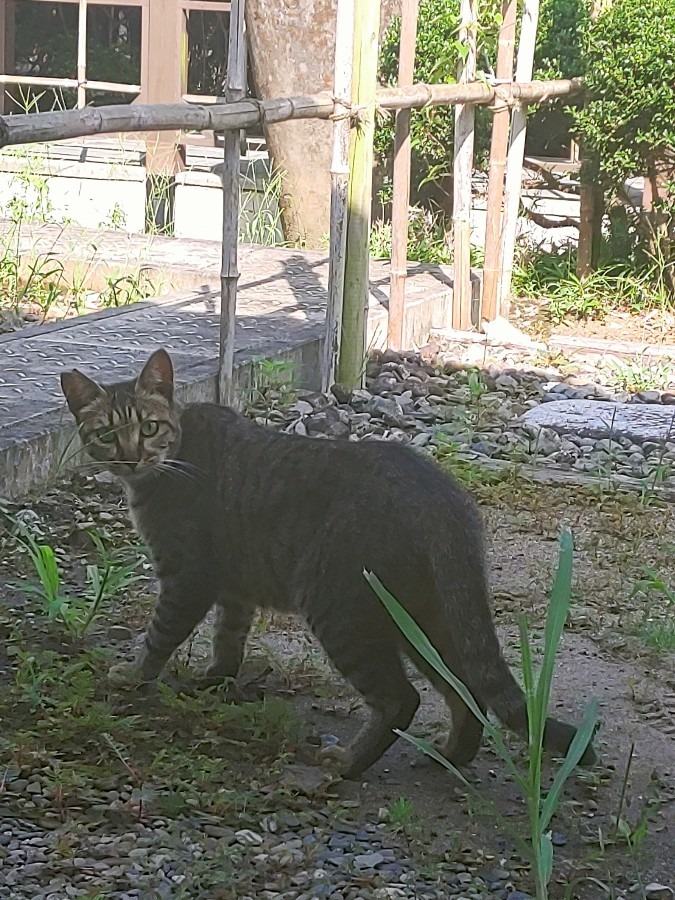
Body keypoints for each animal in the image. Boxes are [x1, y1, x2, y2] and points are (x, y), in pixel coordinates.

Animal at [59, 348, 596, 776]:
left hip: (338, 607)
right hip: (425, 619)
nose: (130, 458)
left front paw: (135, 675)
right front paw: (216, 678)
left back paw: (349, 763)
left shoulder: (187, 576)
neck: (174, 455)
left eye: (148, 427)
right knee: (465, 688)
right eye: (106, 433)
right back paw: (450, 755)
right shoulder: (234, 585)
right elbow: (228, 638)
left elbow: (160, 636)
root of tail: (443, 496)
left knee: (403, 699)